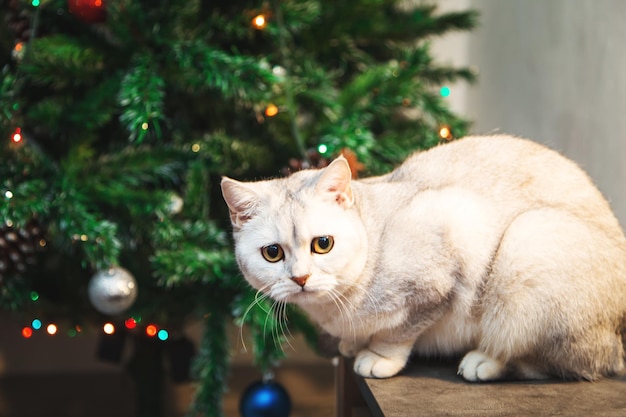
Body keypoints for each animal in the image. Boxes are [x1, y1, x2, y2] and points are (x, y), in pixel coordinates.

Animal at [221, 136, 624, 380]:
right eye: (273, 253)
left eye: (323, 244)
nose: (300, 278)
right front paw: (353, 344)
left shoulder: (441, 263)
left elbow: (399, 331)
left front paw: (377, 357)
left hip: (527, 247)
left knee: (548, 358)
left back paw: (483, 361)